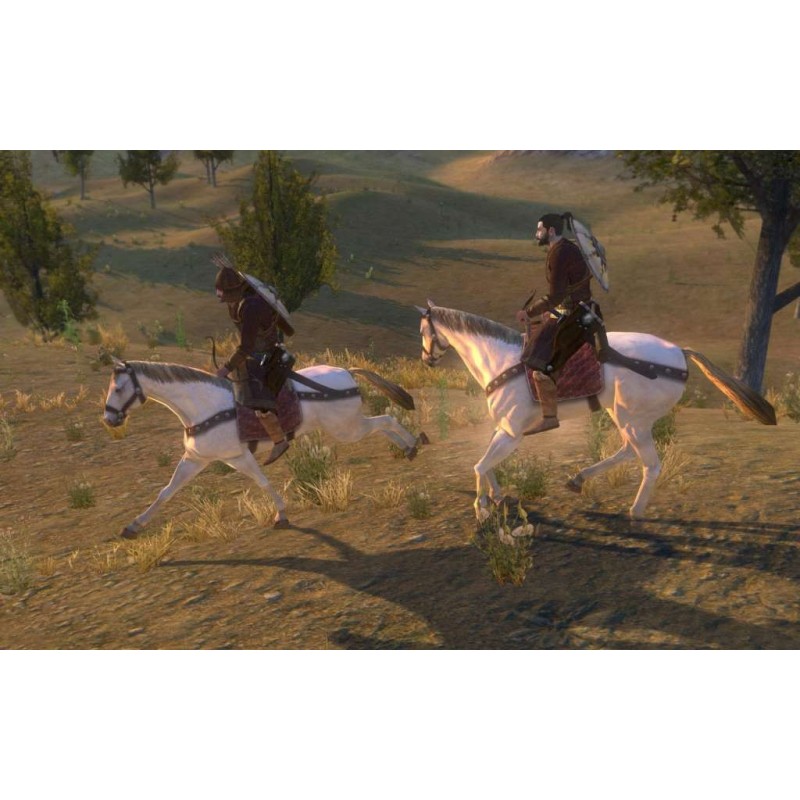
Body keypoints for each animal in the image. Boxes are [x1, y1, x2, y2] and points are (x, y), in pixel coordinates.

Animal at [102, 357, 427, 538]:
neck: (204, 405)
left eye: (118, 388)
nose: (109, 419)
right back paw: (409, 447)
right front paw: (133, 526)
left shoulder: (239, 456)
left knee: (385, 420)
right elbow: (166, 492)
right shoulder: (196, 459)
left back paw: (412, 444)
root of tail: (346, 371)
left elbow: (263, 482)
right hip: (349, 426)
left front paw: (281, 515)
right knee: (383, 424)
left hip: (347, 429)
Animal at [417, 301, 776, 520]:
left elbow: (479, 465)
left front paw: (482, 508)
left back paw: (635, 511)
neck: (502, 360)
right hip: (626, 416)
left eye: (423, 332)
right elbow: (485, 462)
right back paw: (579, 479)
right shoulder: (505, 430)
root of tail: (679, 354)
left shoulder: (511, 433)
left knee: (649, 464)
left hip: (632, 418)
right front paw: (496, 496)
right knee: (628, 451)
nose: (426, 360)